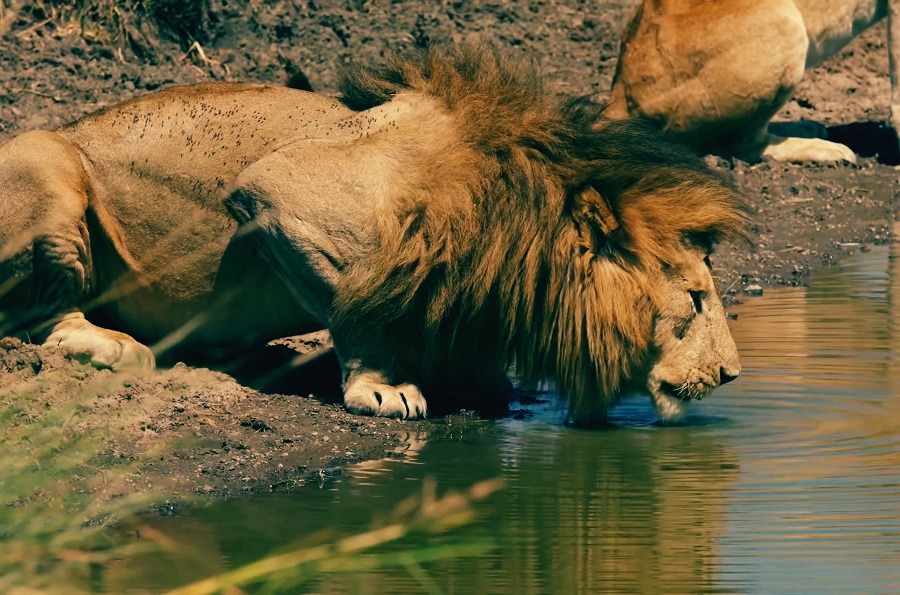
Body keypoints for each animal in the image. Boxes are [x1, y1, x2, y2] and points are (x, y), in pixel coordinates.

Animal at [0, 45, 744, 424]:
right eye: (696, 298)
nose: (733, 375)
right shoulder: (277, 193)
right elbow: (365, 307)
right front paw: (384, 388)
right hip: (44, 160)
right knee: (42, 316)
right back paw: (112, 345)